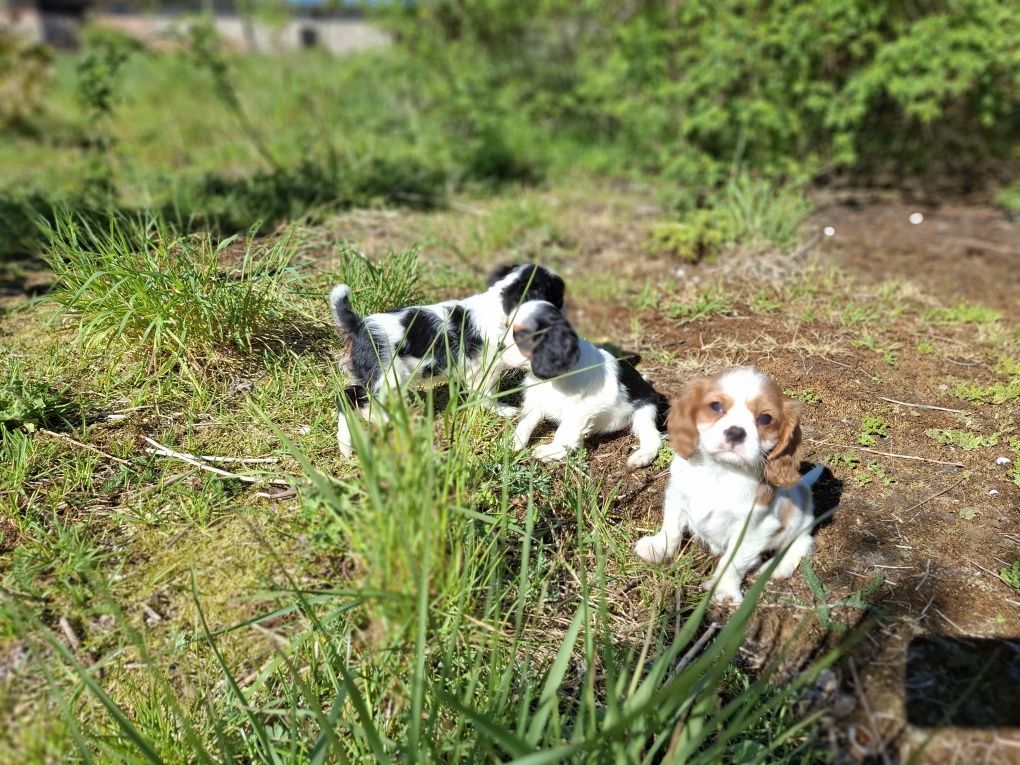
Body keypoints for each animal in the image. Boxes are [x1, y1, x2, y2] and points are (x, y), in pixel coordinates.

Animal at [330, 263, 567, 459]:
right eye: (557, 294)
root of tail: (358, 325)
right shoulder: (484, 369)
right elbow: (487, 395)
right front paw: (503, 410)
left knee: (346, 396)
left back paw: (346, 446)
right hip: (387, 378)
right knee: (358, 401)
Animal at [503, 299, 669, 467]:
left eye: (520, 336)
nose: (500, 346)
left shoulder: (581, 409)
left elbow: (564, 432)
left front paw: (552, 451)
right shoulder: (536, 398)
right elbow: (526, 421)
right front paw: (514, 443)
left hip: (644, 411)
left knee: (653, 437)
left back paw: (641, 457)